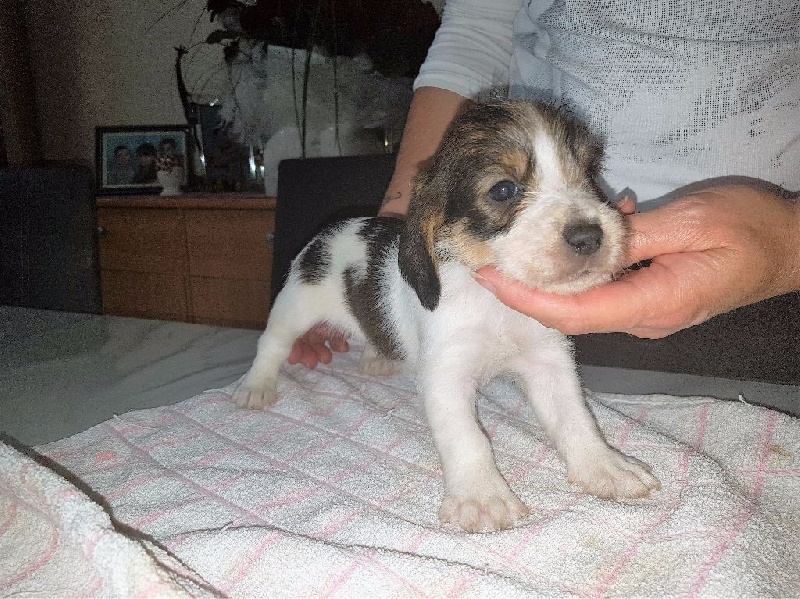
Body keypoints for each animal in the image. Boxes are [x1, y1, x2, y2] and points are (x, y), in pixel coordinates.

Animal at [234, 100, 660, 532]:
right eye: (503, 190)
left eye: (590, 174)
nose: (589, 236)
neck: (495, 306)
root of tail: (332, 229)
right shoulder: (446, 376)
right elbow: (467, 437)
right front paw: (482, 495)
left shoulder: (548, 365)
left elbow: (576, 418)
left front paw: (605, 466)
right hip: (294, 307)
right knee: (271, 345)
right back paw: (256, 386)